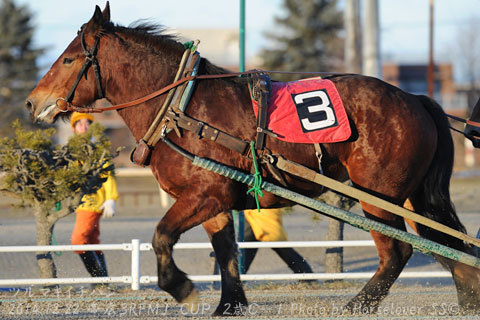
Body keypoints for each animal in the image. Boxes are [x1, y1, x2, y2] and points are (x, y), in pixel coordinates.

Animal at [25, 3, 480, 316]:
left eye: (68, 58)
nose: (32, 102)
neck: (182, 108)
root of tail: (416, 100)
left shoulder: (203, 193)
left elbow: (161, 236)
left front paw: (181, 287)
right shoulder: (215, 202)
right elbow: (227, 251)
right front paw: (230, 303)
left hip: (379, 196)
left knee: (398, 253)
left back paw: (358, 305)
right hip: (409, 197)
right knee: (443, 245)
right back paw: (468, 292)